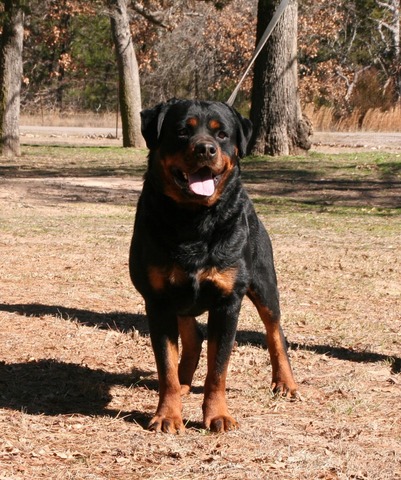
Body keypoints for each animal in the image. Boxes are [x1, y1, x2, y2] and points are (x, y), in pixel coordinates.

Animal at [130, 99, 296, 434]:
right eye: (182, 131)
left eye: (222, 135)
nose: (205, 149)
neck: (194, 220)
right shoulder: (158, 301)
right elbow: (165, 365)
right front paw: (168, 414)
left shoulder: (227, 302)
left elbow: (218, 368)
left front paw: (217, 414)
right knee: (193, 335)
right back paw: (184, 381)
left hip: (264, 284)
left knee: (275, 332)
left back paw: (285, 382)